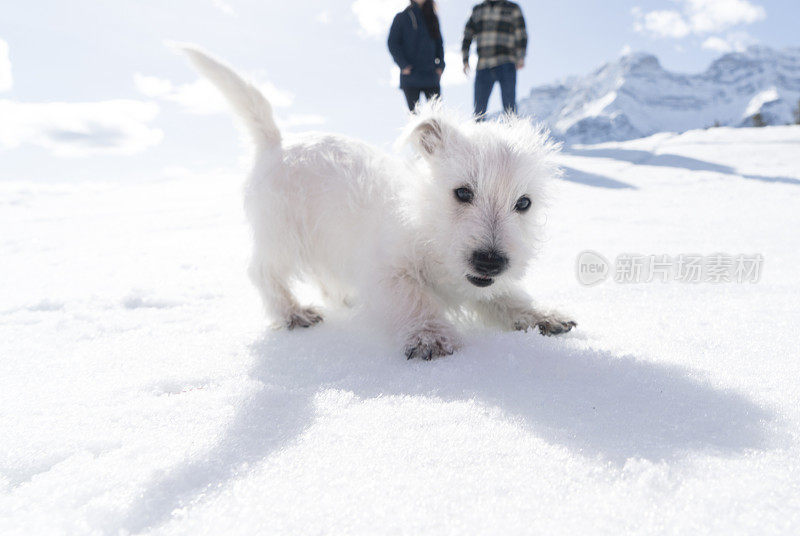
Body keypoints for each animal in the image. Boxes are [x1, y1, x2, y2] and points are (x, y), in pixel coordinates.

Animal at [184, 46, 576, 360]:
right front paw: (429, 335)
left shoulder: (484, 282)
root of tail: (276, 142)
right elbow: (413, 297)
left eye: (523, 203)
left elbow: (507, 297)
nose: (490, 261)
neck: (428, 227)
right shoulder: (387, 271)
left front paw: (543, 316)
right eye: (463, 192)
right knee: (263, 272)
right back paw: (292, 312)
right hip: (282, 234)